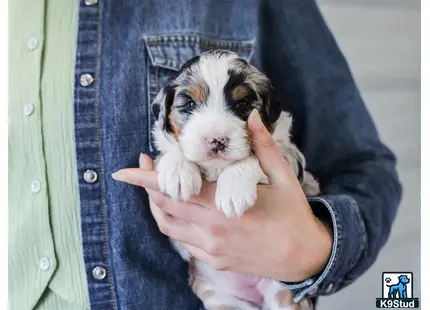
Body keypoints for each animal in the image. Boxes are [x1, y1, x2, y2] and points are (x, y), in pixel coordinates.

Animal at [151, 50, 320, 310]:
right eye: (189, 104)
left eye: (243, 104)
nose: (216, 140)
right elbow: (170, 151)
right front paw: (177, 172)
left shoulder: (288, 158)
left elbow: (252, 156)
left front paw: (233, 192)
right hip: (224, 301)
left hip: (285, 297)